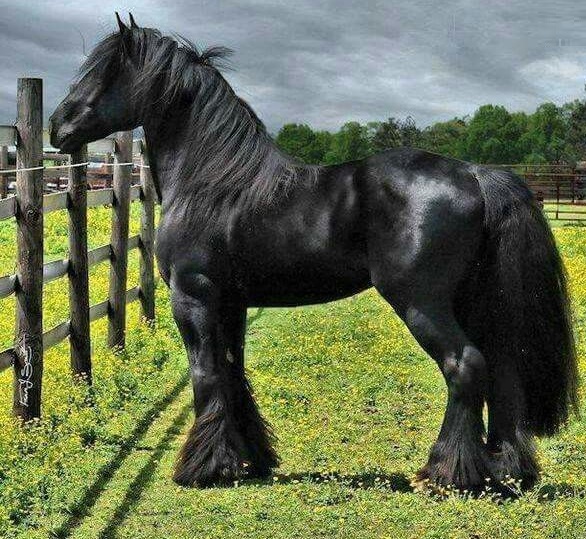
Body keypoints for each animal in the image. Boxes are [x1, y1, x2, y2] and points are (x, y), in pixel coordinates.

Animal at [49, 15, 576, 494]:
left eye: (105, 72)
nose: (58, 126)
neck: (213, 184)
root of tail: (475, 175)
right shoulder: (232, 302)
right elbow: (232, 371)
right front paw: (248, 460)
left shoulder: (194, 297)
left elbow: (206, 374)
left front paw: (203, 469)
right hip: (472, 301)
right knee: (502, 370)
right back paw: (506, 470)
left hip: (420, 302)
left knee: (465, 365)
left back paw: (447, 473)